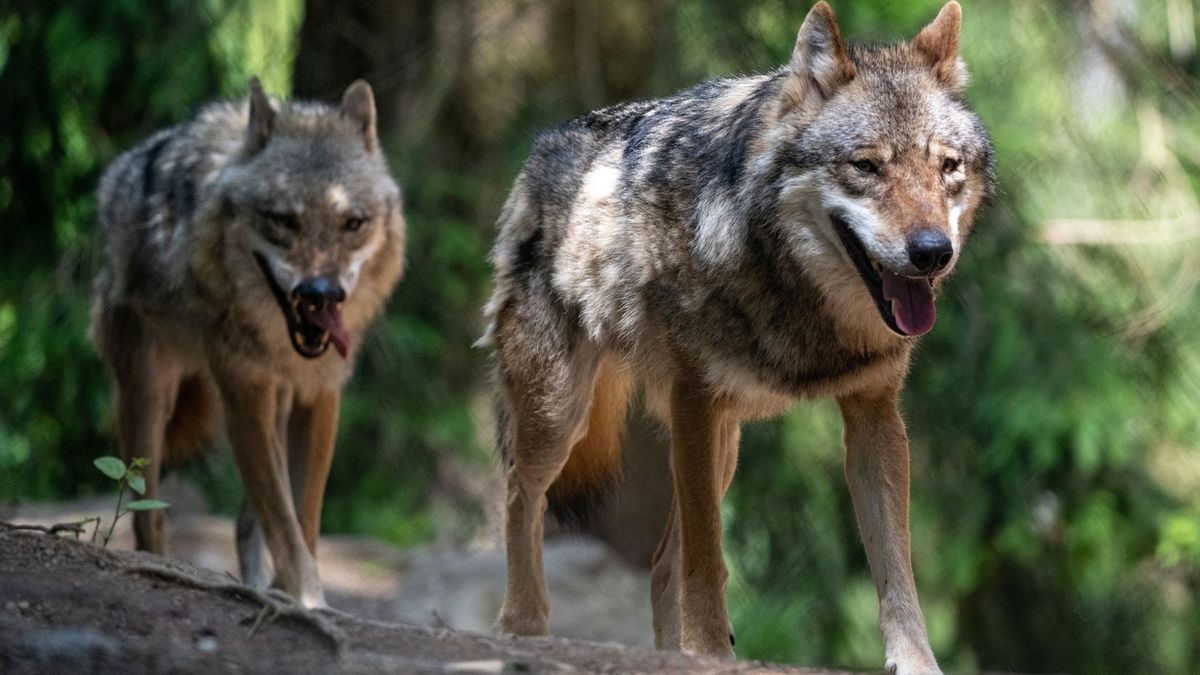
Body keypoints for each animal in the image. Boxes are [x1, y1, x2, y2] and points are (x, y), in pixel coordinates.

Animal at [90, 77, 408, 605]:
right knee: (147, 516)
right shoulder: (245, 392)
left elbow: (303, 517)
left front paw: (296, 593)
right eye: (282, 220)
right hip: (149, 403)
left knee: (243, 523)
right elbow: (283, 521)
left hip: (273, 406)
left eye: (353, 223)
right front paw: (306, 597)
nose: (320, 294)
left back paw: (260, 585)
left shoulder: (319, 395)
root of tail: (118, 174)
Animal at [482, 3, 998, 667]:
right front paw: (710, 653)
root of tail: (544, 144)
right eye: (866, 165)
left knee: (659, 563)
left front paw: (915, 663)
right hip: (561, 417)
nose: (933, 252)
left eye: (947, 168)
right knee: (522, 497)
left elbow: (896, 573)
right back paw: (524, 624)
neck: (794, 291)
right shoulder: (695, 403)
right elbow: (708, 562)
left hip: (721, 444)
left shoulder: (875, 415)